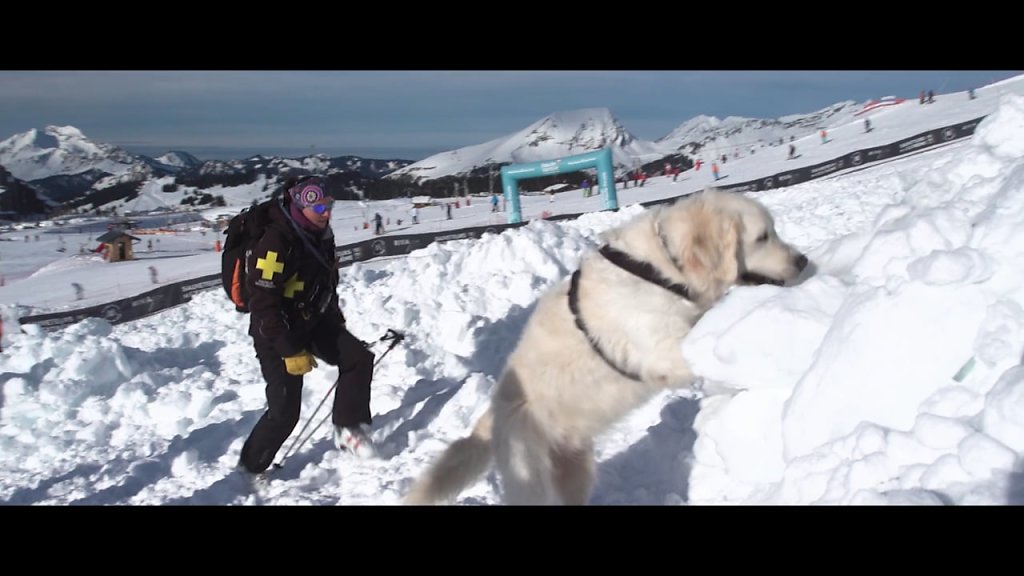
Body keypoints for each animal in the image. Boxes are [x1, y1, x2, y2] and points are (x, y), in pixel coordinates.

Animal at [401, 188, 806, 502]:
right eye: (762, 237)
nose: (803, 261)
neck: (662, 268)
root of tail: (492, 416)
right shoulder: (663, 350)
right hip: (533, 480)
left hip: (575, 471)